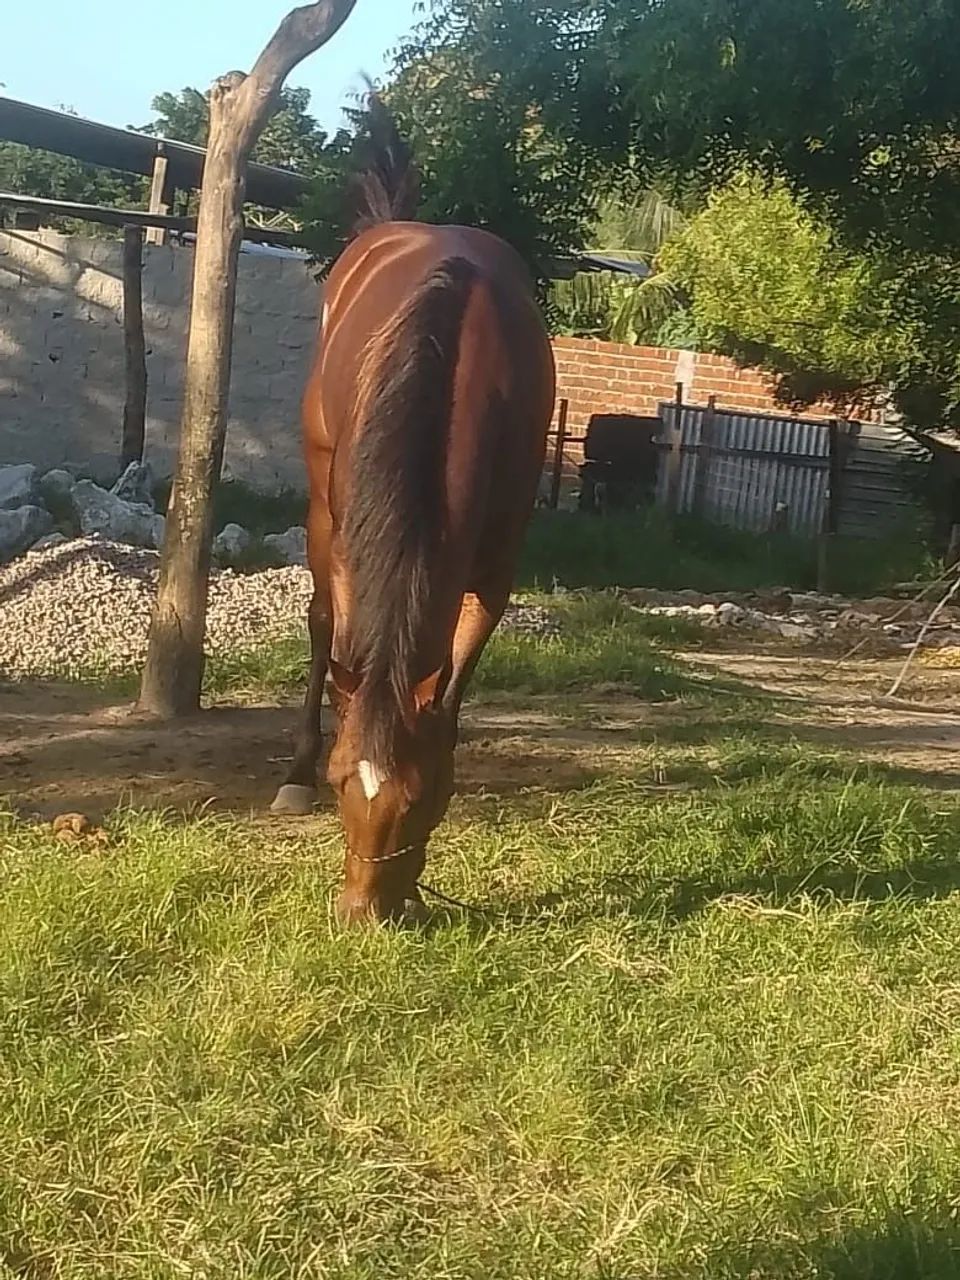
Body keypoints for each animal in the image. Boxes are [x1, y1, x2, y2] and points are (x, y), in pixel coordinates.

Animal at [270, 100, 556, 924]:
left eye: (423, 797)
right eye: (342, 781)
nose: (365, 914)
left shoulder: (496, 569)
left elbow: (452, 690)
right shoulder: (350, 546)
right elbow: (342, 637)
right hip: (322, 503)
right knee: (321, 626)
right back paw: (290, 770)